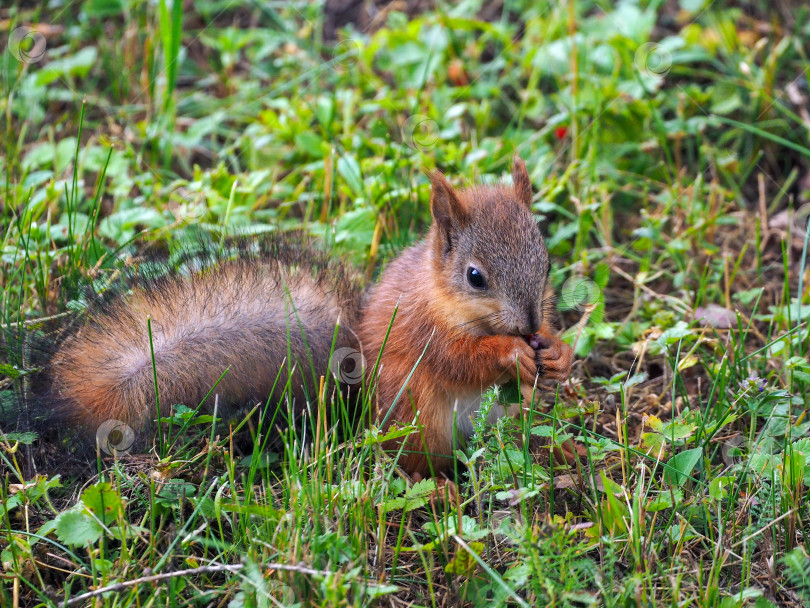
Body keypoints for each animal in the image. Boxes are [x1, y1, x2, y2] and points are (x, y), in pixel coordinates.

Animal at [20, 157, 576, 480]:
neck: (444, 296)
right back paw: (440, 488)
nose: (528, 325)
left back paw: (559, 451)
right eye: (475, 276)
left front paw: (558, 352)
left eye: (547, 261)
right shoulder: (421, 328)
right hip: (416, 415)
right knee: (411, 465)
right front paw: (510, 353)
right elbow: (460, 359)